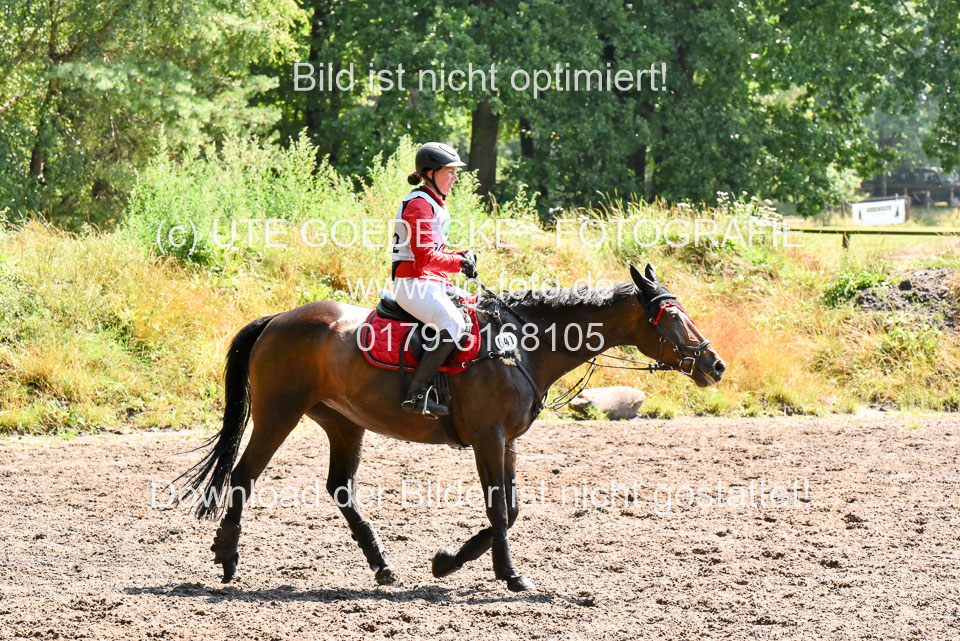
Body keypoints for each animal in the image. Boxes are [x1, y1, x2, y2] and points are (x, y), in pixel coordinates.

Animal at [176, 262, 724, 592]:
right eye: (671, 318)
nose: (714, 365)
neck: (523, 345)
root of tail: (276, 320)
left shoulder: (506, 441)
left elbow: (511, 508)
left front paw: (448, 562)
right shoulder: (488, 437)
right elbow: (499, 508)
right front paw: (510, 576)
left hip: (343, 423)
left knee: (339, 489)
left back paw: (382, 565)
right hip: (279, 413)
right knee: (243, 476)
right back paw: (227, 558)